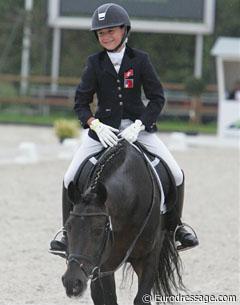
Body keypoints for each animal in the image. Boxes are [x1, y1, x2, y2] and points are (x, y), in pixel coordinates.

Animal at [62, 139, 184, 302]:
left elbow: (141, 298)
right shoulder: (104, 265)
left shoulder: (149, 257)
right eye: (68, 227)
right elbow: (109, 299)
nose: (72, 283)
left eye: (98, 230)